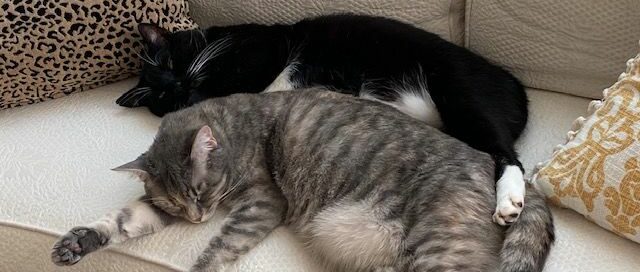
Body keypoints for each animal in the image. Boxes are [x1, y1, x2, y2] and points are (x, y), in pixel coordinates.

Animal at [50, 88, 552, 270]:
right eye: (176, 204)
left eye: (200, 190)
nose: (194, 218)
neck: (234, 126)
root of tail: (488, 163)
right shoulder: (155, 208)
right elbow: (120, 220)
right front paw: (79, 241)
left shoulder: (261, 203)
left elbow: (218, 248)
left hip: (439, 246)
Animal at [117, 14, 528, 225]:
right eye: (162, 97)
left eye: (171, 62)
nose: (178, 86)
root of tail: (516, 88)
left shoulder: (261, 50)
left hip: (460, 93)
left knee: (503, 155)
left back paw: (509, 201)